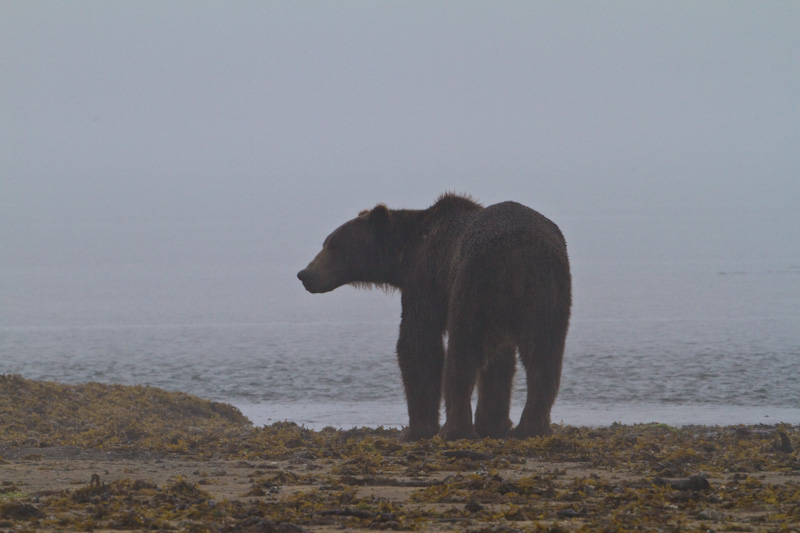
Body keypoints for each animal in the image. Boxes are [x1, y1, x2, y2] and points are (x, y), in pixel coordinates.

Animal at [298, 193, 568, 438]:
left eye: (334, 244)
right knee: (545, 356)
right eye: (326, 242)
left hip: (475, 281)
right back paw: (531, 427)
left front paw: (418, 428)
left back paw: (455, 429)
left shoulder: (425, 275)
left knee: (464, 351)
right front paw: (493, 424)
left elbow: (419, 343)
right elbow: (501, 360)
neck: (402, 253)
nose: (305, 274)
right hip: (548, 291)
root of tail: (519, 254)